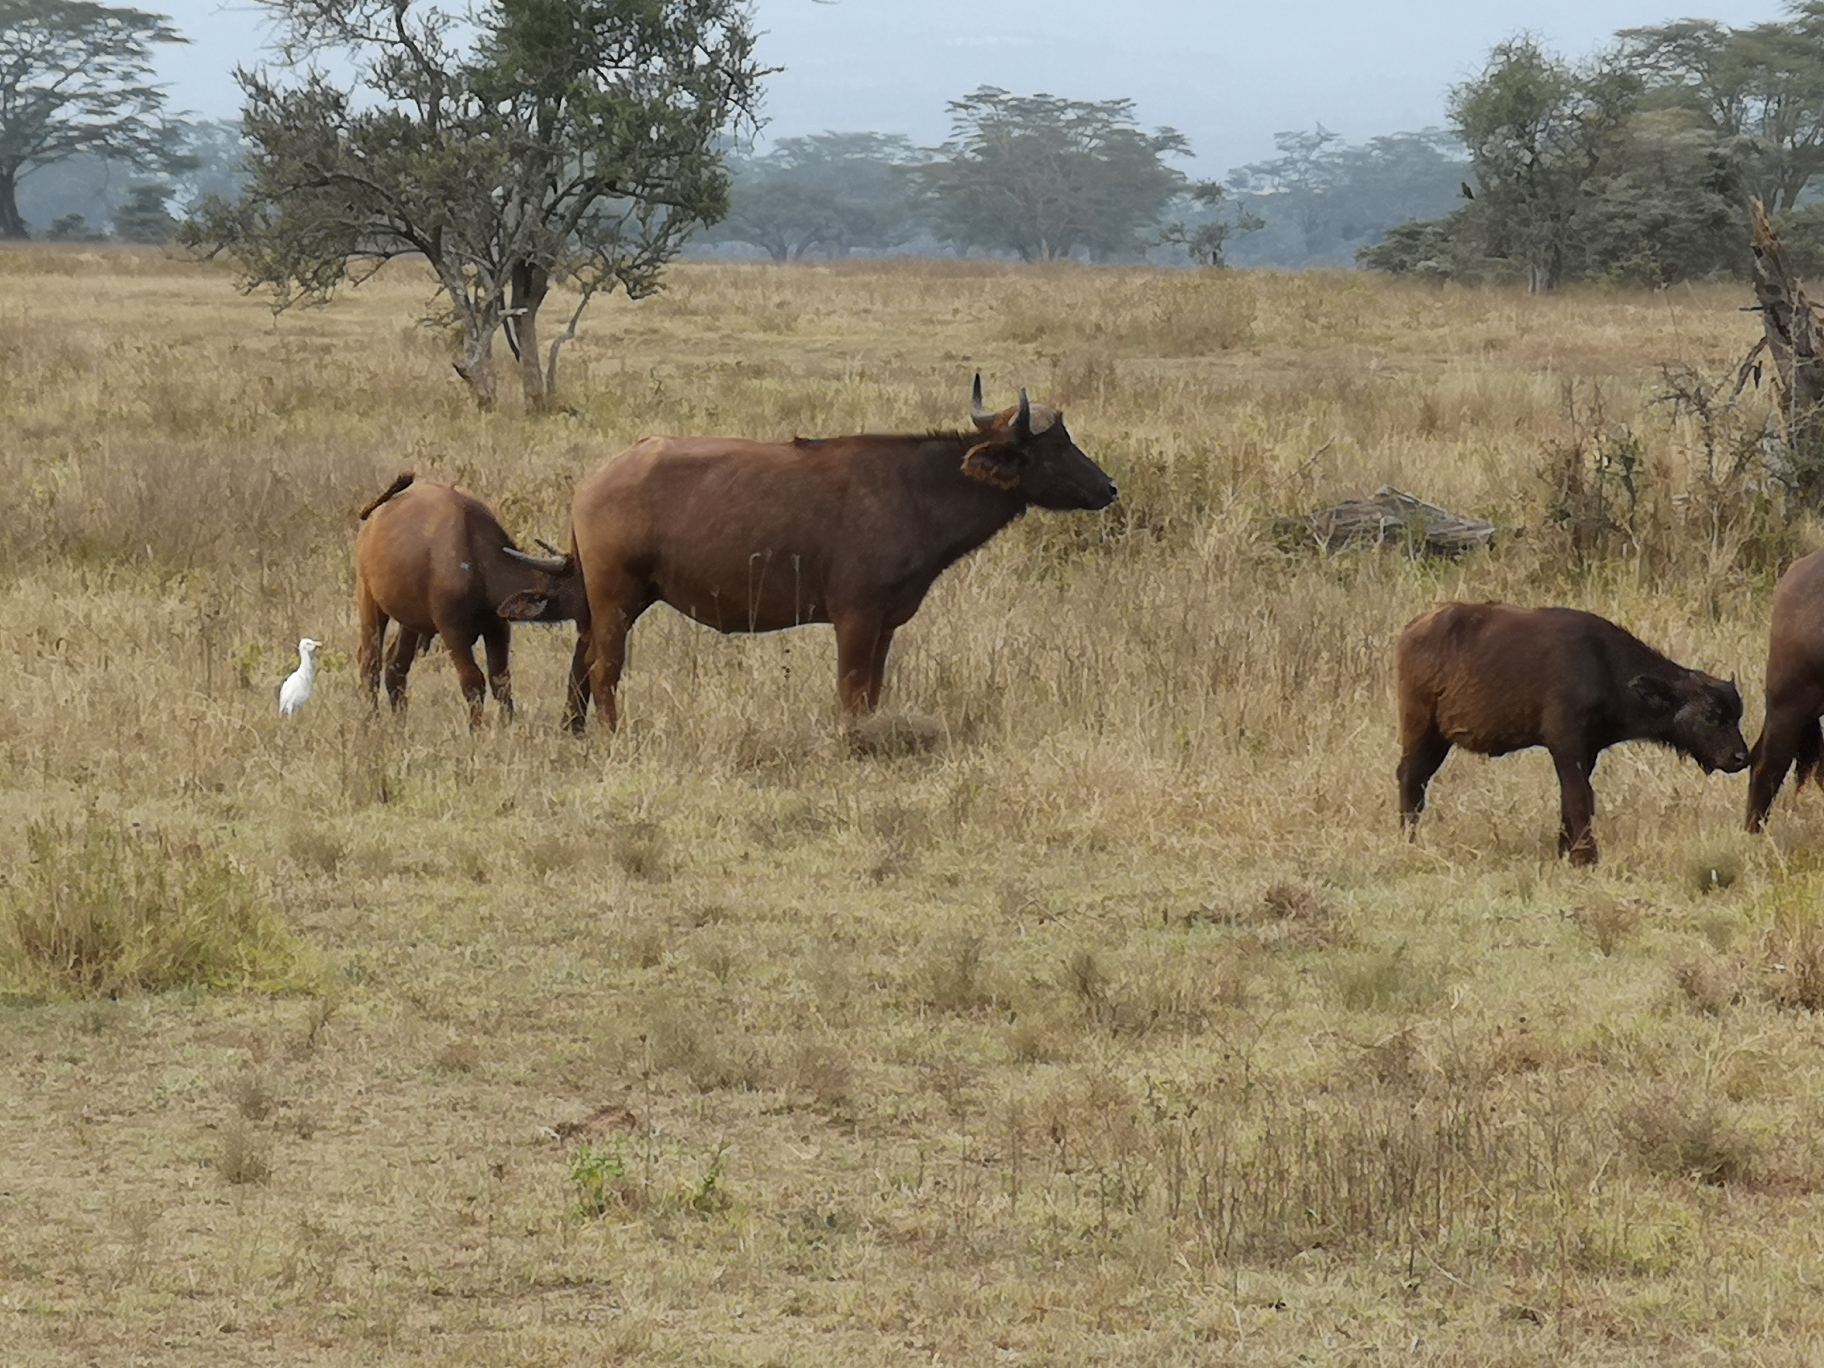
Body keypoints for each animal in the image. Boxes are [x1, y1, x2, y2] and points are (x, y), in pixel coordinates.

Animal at [353, 474, 583, 729]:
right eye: (580, 584)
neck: (477, 565)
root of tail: (376, 514)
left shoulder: (498, 627)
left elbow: (500, 680)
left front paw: (506, 727)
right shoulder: (452, 631)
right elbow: (473, 681)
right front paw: (476, 730)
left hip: (410, 620)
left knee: (396, 666)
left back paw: (400, 725)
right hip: (368, 599)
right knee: (369, 662)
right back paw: (372, 721)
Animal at [528, 375, 1116, 740]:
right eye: (1057, 444)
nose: (1109, 487)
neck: (917, 489)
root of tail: (593, 483)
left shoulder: (885, 626)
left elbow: (872, 693)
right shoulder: (854, 619)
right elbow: (851, 693)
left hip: (600, 607)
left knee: (579, 663)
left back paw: (573, 732)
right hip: (618, 601)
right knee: (604, 667)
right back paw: (611, 734)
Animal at [1393, 601, 1751, 868]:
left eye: (1736, 715)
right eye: (1711, 715)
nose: (1740, 757)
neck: (1605, 665)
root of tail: (1413, 629)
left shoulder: (1586, 752)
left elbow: (1571, 799)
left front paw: (1566, 852)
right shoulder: (1567, 747)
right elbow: (1580, 798)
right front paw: (1586, 857)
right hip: (1422, 729)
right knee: (1411, 777)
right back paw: (1408, 840)